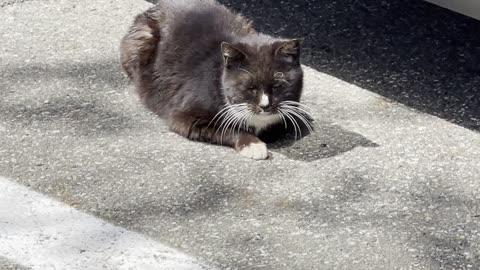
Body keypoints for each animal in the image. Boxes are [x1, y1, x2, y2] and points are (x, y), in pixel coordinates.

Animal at [120, 0, 312, 159]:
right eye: (250, 87)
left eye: (277, 85)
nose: (265, 106)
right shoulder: (184, 116)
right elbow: (228, 128)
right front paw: (253, 144)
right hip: (142, 39)